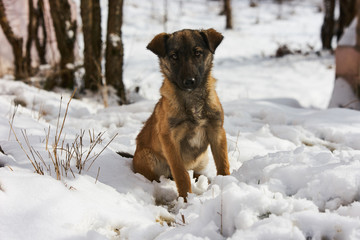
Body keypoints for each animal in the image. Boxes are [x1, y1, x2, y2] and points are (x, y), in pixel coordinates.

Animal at [133, 28, 231, 201]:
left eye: (197, 53)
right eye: (174, 56)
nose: (189, 81)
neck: (192, 99)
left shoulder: (217, 131)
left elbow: (223, 163)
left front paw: (225, 184)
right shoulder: (170, 140)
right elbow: (181, 173)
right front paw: (186, 199)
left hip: (202, 158)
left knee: (197, 173)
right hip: (150, 159)